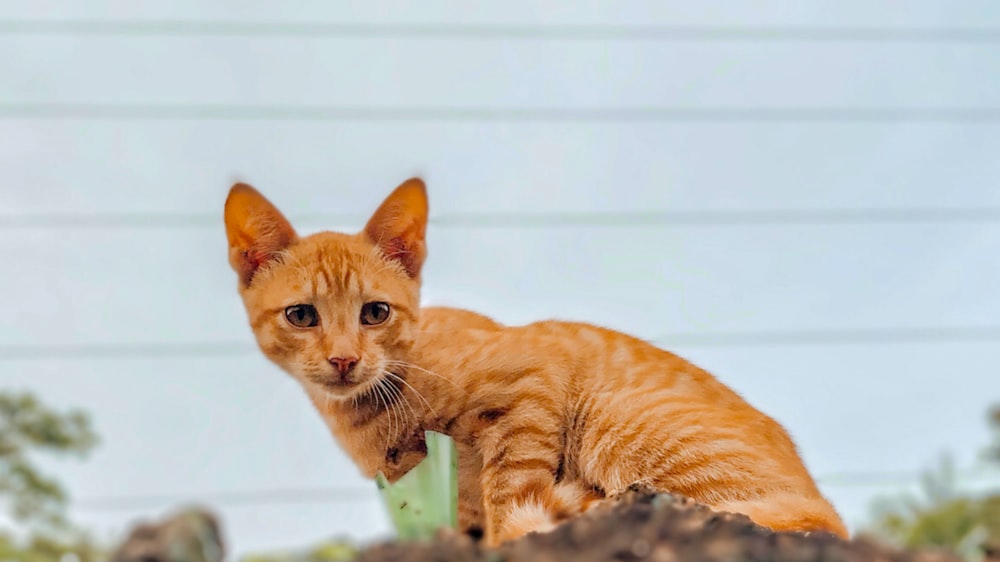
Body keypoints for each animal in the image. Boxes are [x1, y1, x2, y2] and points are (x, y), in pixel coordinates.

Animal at [225, 176, 844, 544]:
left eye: (374, 313)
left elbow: (510, 491)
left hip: (617, 425)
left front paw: (514, 536)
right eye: (302, 316)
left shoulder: (531, 384)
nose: (343, 360)